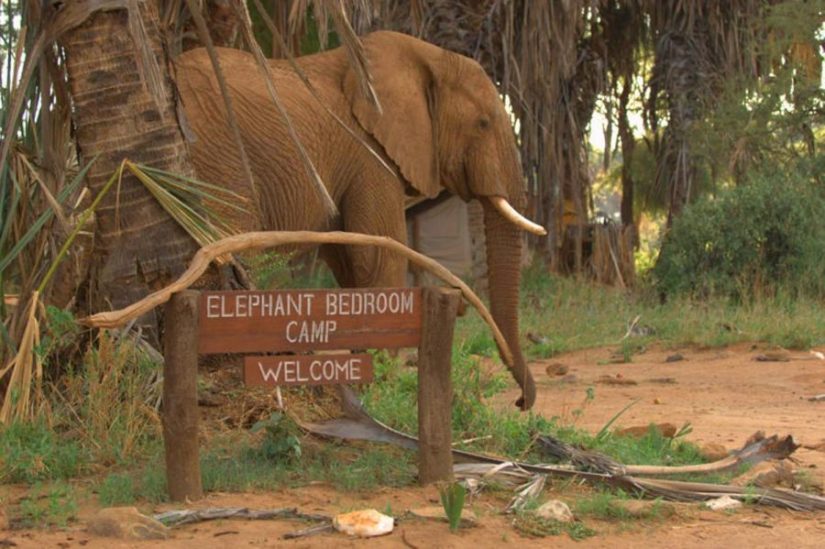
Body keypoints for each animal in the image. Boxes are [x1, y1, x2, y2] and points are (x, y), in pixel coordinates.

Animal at [175, 30, 543, 409]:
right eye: (482, 124)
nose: (521, 402)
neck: (427, 56)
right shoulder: (370, 156)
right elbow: (379, 258)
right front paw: (379, 386)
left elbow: (351, 263)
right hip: (219, 159)